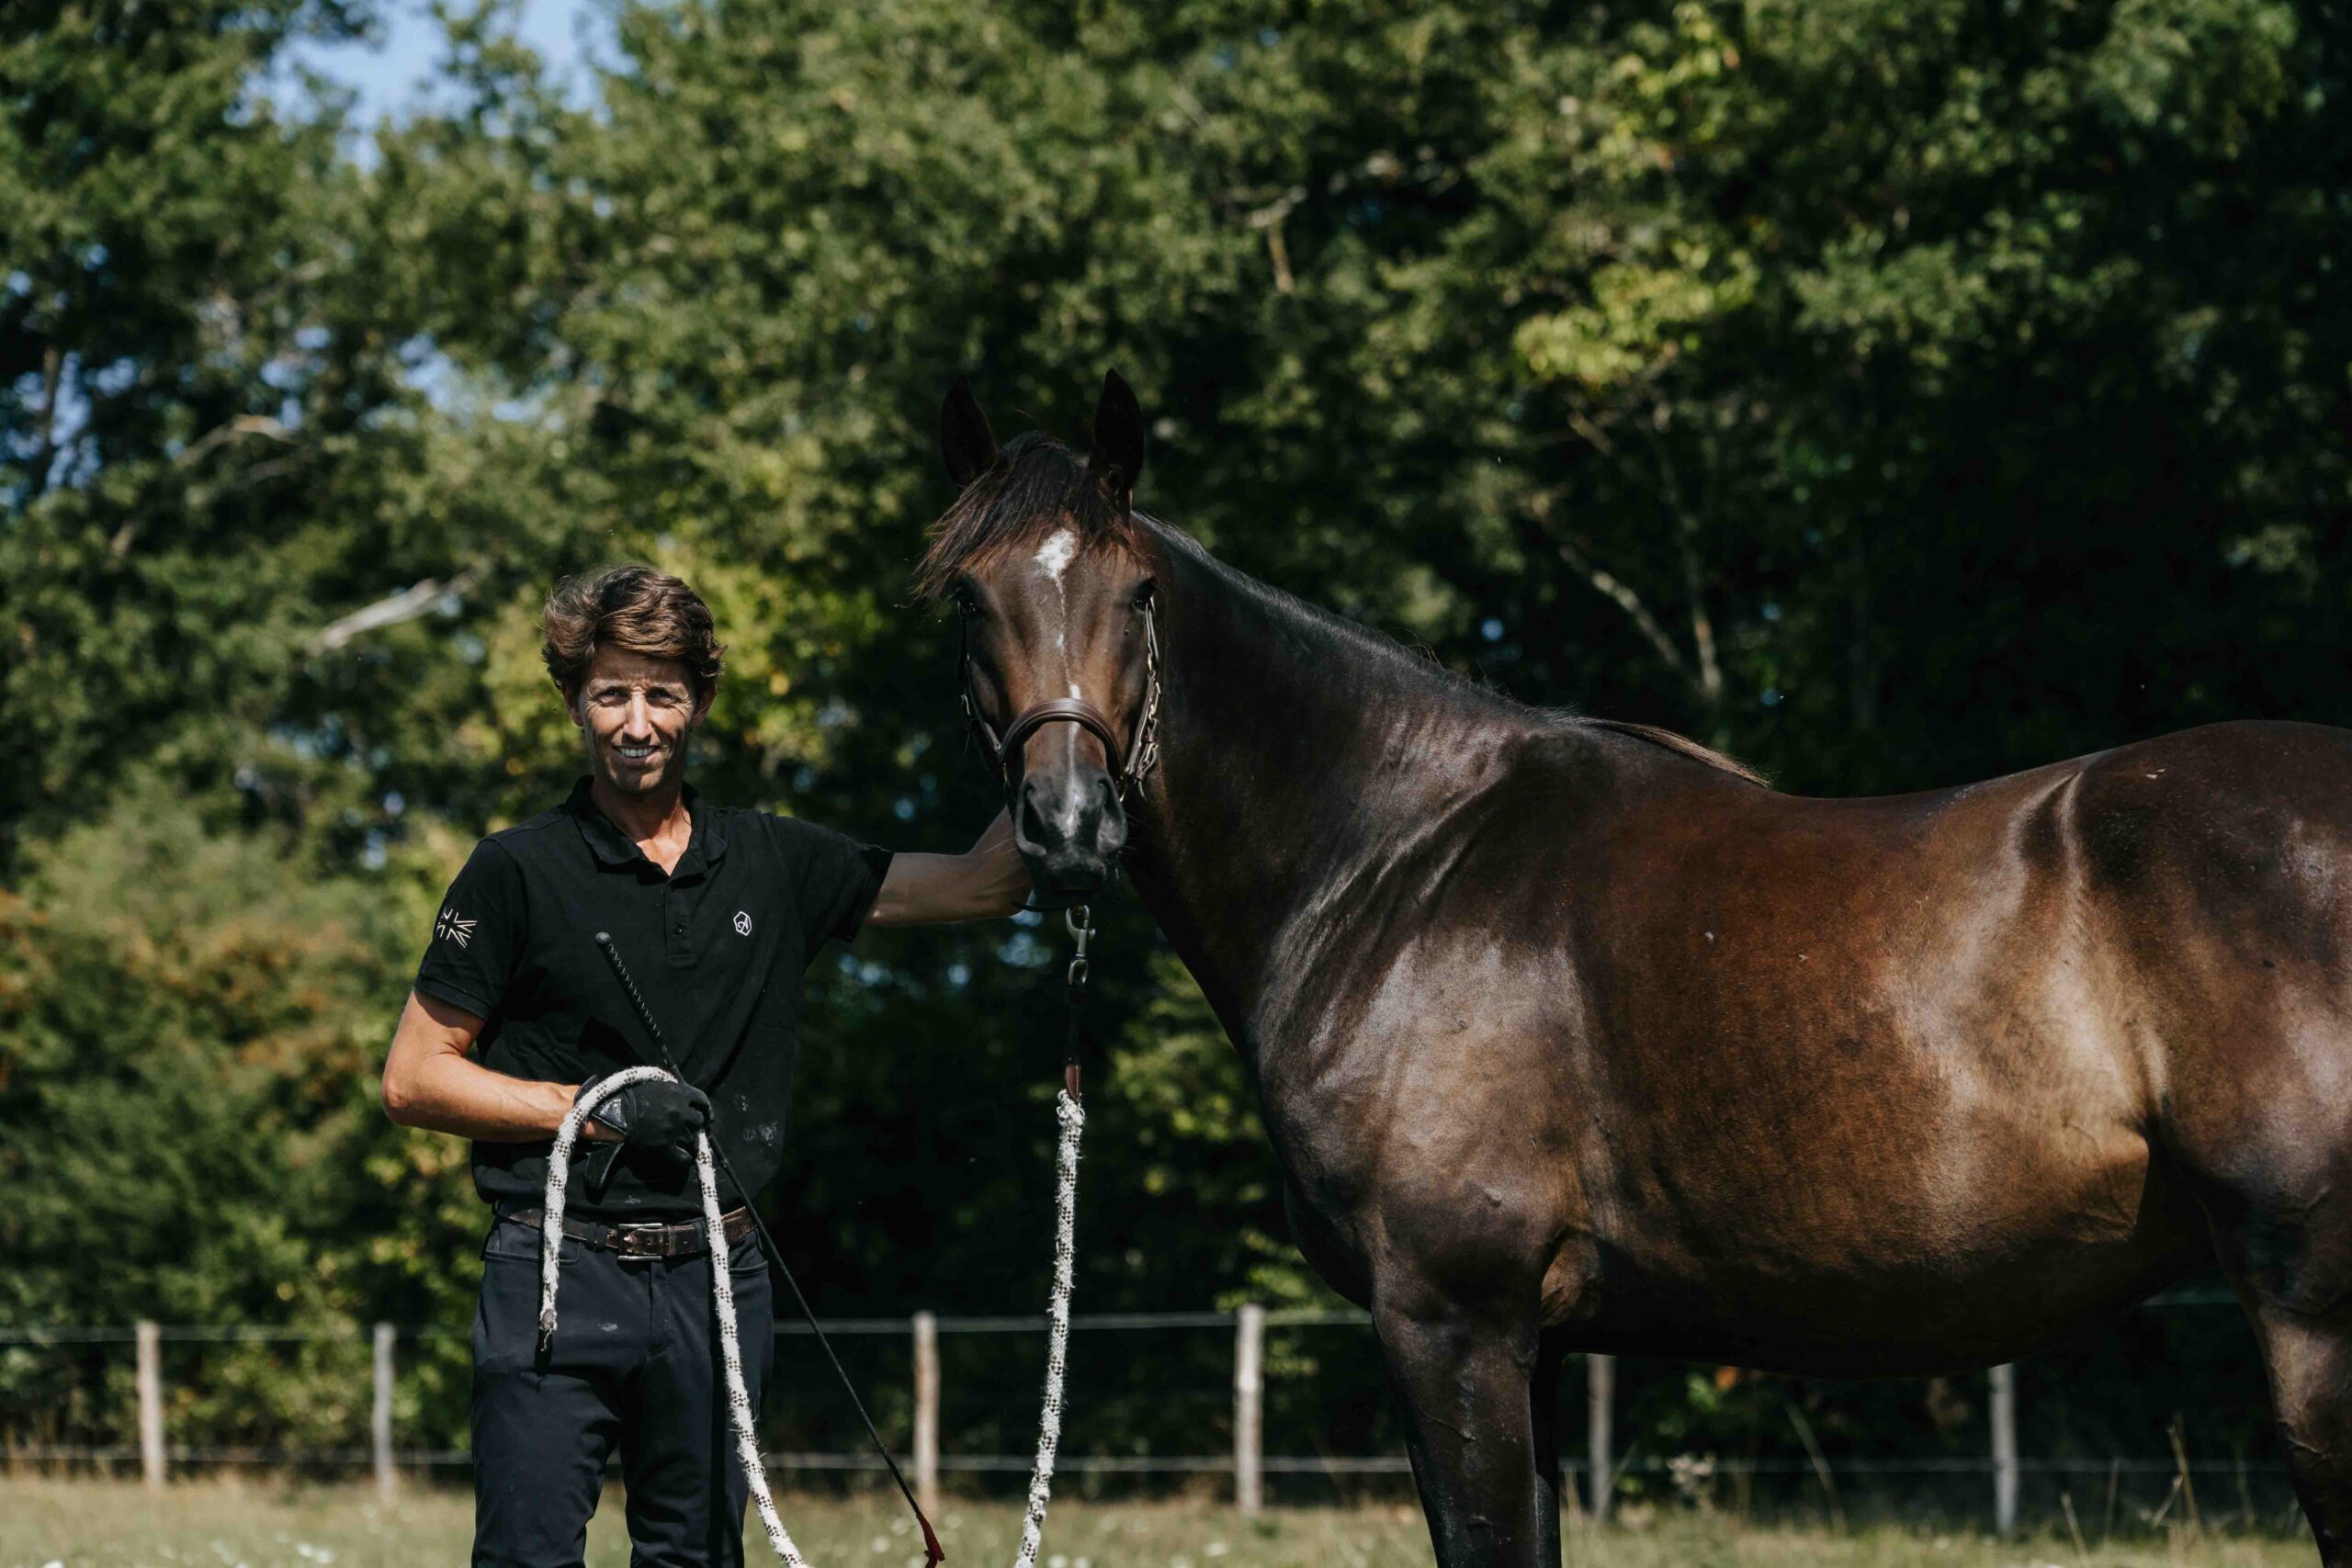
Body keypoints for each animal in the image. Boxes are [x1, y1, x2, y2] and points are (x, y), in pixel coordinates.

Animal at [920, 370, 2352, 1566]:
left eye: (1136, 594)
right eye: (970, 599)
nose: (1067, 829)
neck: (1396, 859)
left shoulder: (1451, 1319)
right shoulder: (1534, 1343)